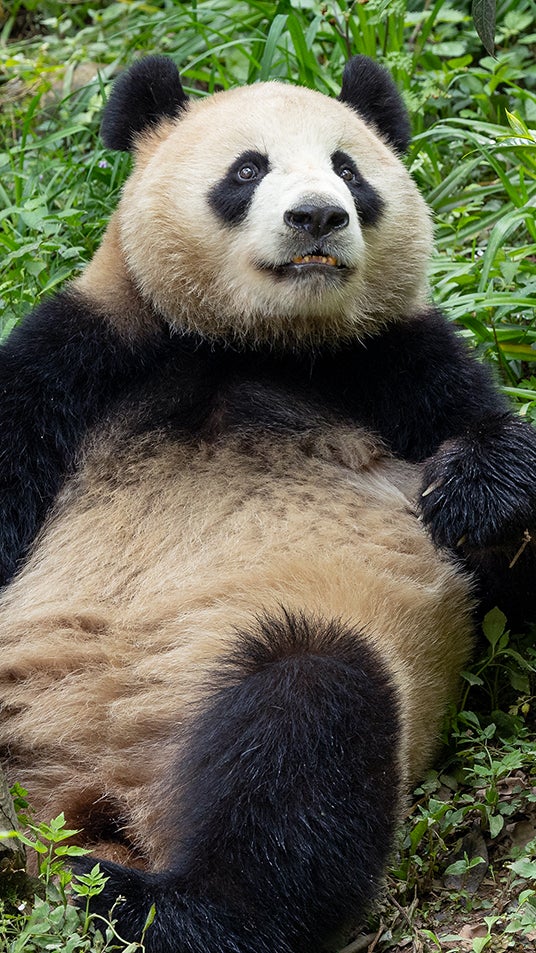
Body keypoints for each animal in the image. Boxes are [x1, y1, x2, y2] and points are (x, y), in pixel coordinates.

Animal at [0, 54, 535, 953]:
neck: (258, 342)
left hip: (231, 674)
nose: (318, 215)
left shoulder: (399, 363)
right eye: (247, 170)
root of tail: (75, 798)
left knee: (303, 731)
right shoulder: (82, 354)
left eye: (348, 168)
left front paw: (477, 495)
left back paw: (147, 903)